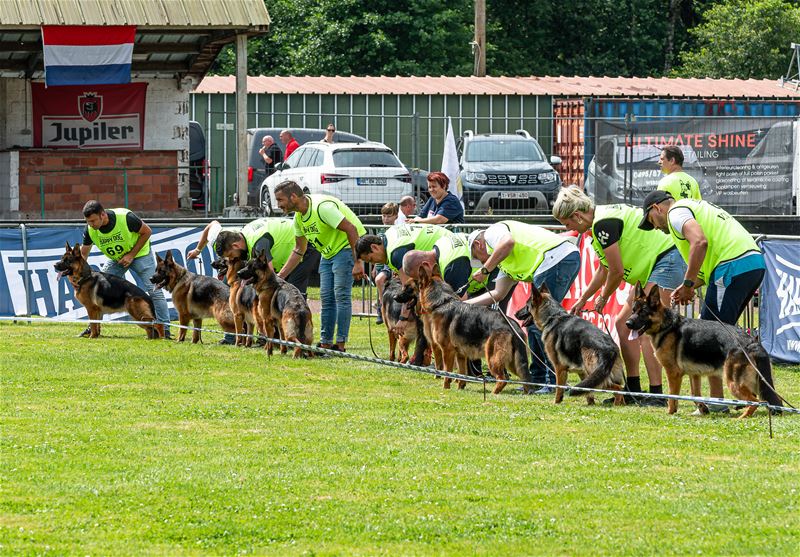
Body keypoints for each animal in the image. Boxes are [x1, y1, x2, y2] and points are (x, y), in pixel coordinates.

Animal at [400, 268, 532, 394]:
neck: (441, 303)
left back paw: (493, 394)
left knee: (502, 379)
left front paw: (445, 388)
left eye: (408, 288)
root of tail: (512, 325)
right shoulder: (461, 355)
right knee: (525, 378)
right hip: (513, 362)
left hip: (493, 358)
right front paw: (460, 387)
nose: (396, 297)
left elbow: (447, 372)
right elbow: (461, 374)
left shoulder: (447, 351)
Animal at [624, 282, 780, 416]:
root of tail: (752, 342)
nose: (627, 323)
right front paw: (703, 408)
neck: (666, 326)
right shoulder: (694, 374)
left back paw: (741, 417)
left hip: (733, 381)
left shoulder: (673, 373)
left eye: (643, 312)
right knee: (762, 400)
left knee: (757, 402)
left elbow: (672, 396)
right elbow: (695, 393)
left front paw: (670, 412)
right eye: (633, 310)